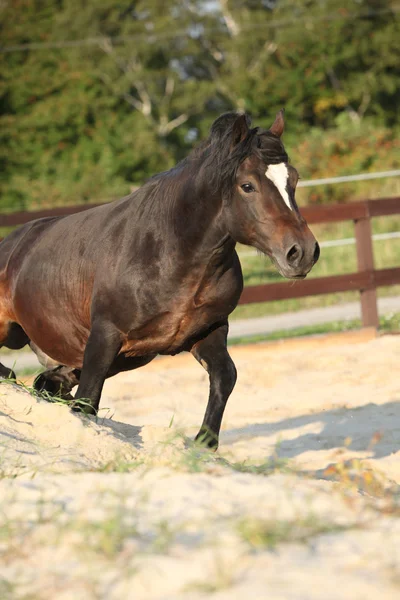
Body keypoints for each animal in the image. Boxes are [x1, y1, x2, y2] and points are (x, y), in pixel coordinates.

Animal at [0, 110, 318, 448]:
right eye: (248, 185)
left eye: (293, 180)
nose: (303, 252)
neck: (170, 253)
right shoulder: (105, 335)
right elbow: (88, 401)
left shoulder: (208, 331)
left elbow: (225, 376)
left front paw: (204, 443)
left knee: (49, 381)